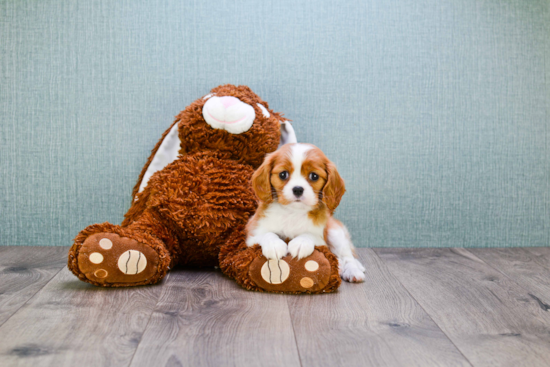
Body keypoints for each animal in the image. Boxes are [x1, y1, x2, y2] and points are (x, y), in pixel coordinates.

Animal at [246, 143, 366, 282]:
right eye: (283, 174)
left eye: (314, 176)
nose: (298, 189)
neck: (293, 212)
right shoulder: (252, 234)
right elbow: (267, 234)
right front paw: (274, 245)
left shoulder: (321, 240)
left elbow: (309, 235)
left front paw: (300, 243)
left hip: (336, 233)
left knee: (347, 256)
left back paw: (353, 271)